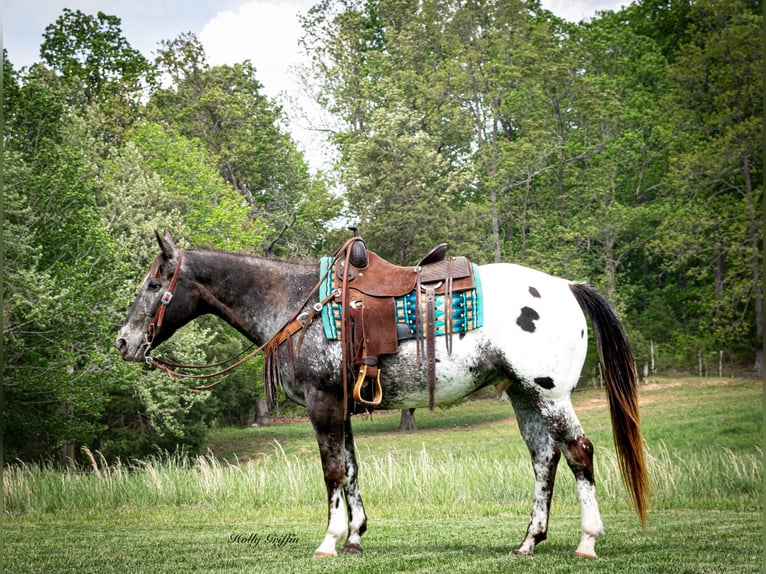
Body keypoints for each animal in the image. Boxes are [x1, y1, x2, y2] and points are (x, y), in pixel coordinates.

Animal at [117, 232, 652, 560]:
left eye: (153, 284)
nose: (123, 341)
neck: (297, 305)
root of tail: (566, 285)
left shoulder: (323, 403)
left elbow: (333, 471)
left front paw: (330, 540)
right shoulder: (342, 406)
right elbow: (352, 469)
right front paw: (355, 536)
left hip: (551, 394)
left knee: (580, 452)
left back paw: (587, 542)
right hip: (524, 396)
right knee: (545, 459)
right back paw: (528, 542)